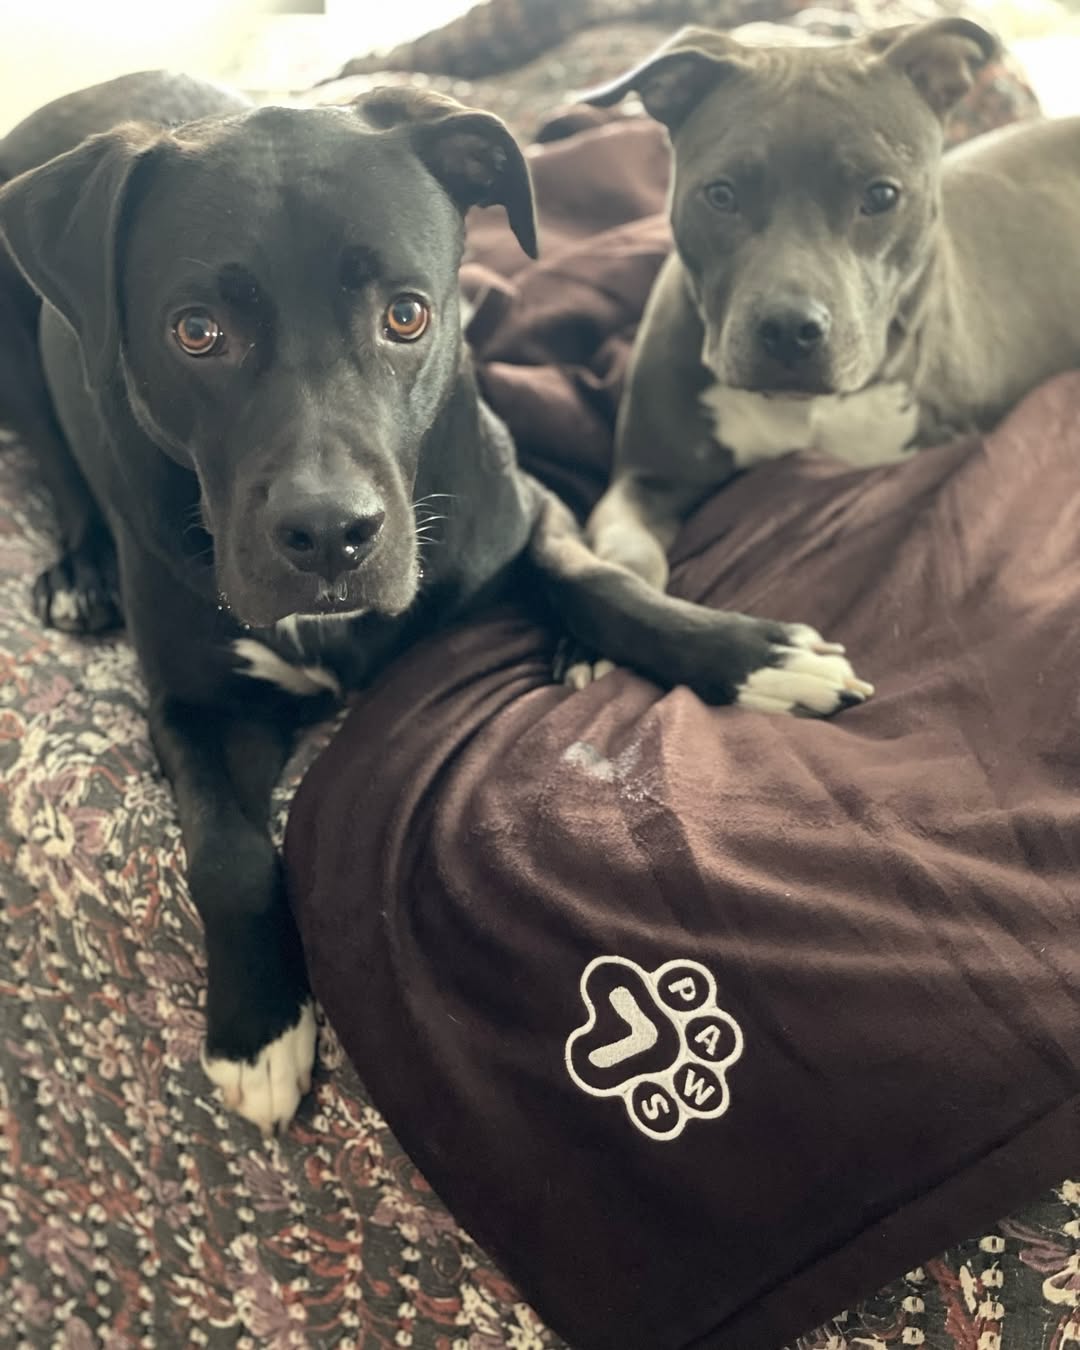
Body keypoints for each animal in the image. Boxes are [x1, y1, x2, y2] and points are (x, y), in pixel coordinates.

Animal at [0, 71, 869, 1128]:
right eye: (196, 331)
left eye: (408, 315)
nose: (330, 534)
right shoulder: (189, 708)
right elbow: (225, 854)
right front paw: (254, 1027)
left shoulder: (523, 513)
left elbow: (602, 580)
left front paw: (752, 654)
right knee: (60, 472)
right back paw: (78, 574)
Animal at [585, 19, 1080, 591]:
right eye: (721, 195)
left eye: (882, 196)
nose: (788, 329)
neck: (805, 410)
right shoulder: (642, 481)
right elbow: (628, 562)